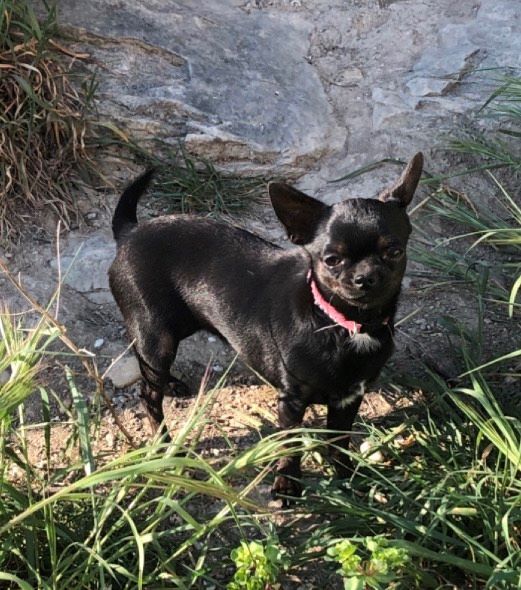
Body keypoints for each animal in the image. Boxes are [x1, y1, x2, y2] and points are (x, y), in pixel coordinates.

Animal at [109, 153, 422, 500]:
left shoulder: (349, 398)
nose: (365, 277)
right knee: (148, 394)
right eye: (331, 260)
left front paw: (346, 477)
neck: (344, 325)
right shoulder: (291, 403)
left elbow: (338, 442)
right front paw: (287, 483)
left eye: (394, 251)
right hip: (156, 335)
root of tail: (130, 233)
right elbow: (291, 445)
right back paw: (164, 444)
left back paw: (172, 384)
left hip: (178, 326)